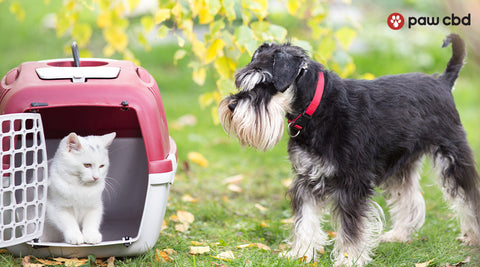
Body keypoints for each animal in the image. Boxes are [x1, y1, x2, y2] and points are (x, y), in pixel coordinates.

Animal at [218, 34, 480, 266]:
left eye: (265, 83)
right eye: (241, 80)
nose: (231, 106)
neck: (317, 109)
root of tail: (442, 81)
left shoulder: (352, 183)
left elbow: (351, 229)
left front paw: (349, 259)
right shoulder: (306, 179)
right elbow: (305, 220)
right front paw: (300, 254)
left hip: (453, 156)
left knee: (469, 195)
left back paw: (472, 236)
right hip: (400, 164)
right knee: (409, 199)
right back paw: (399, 235)